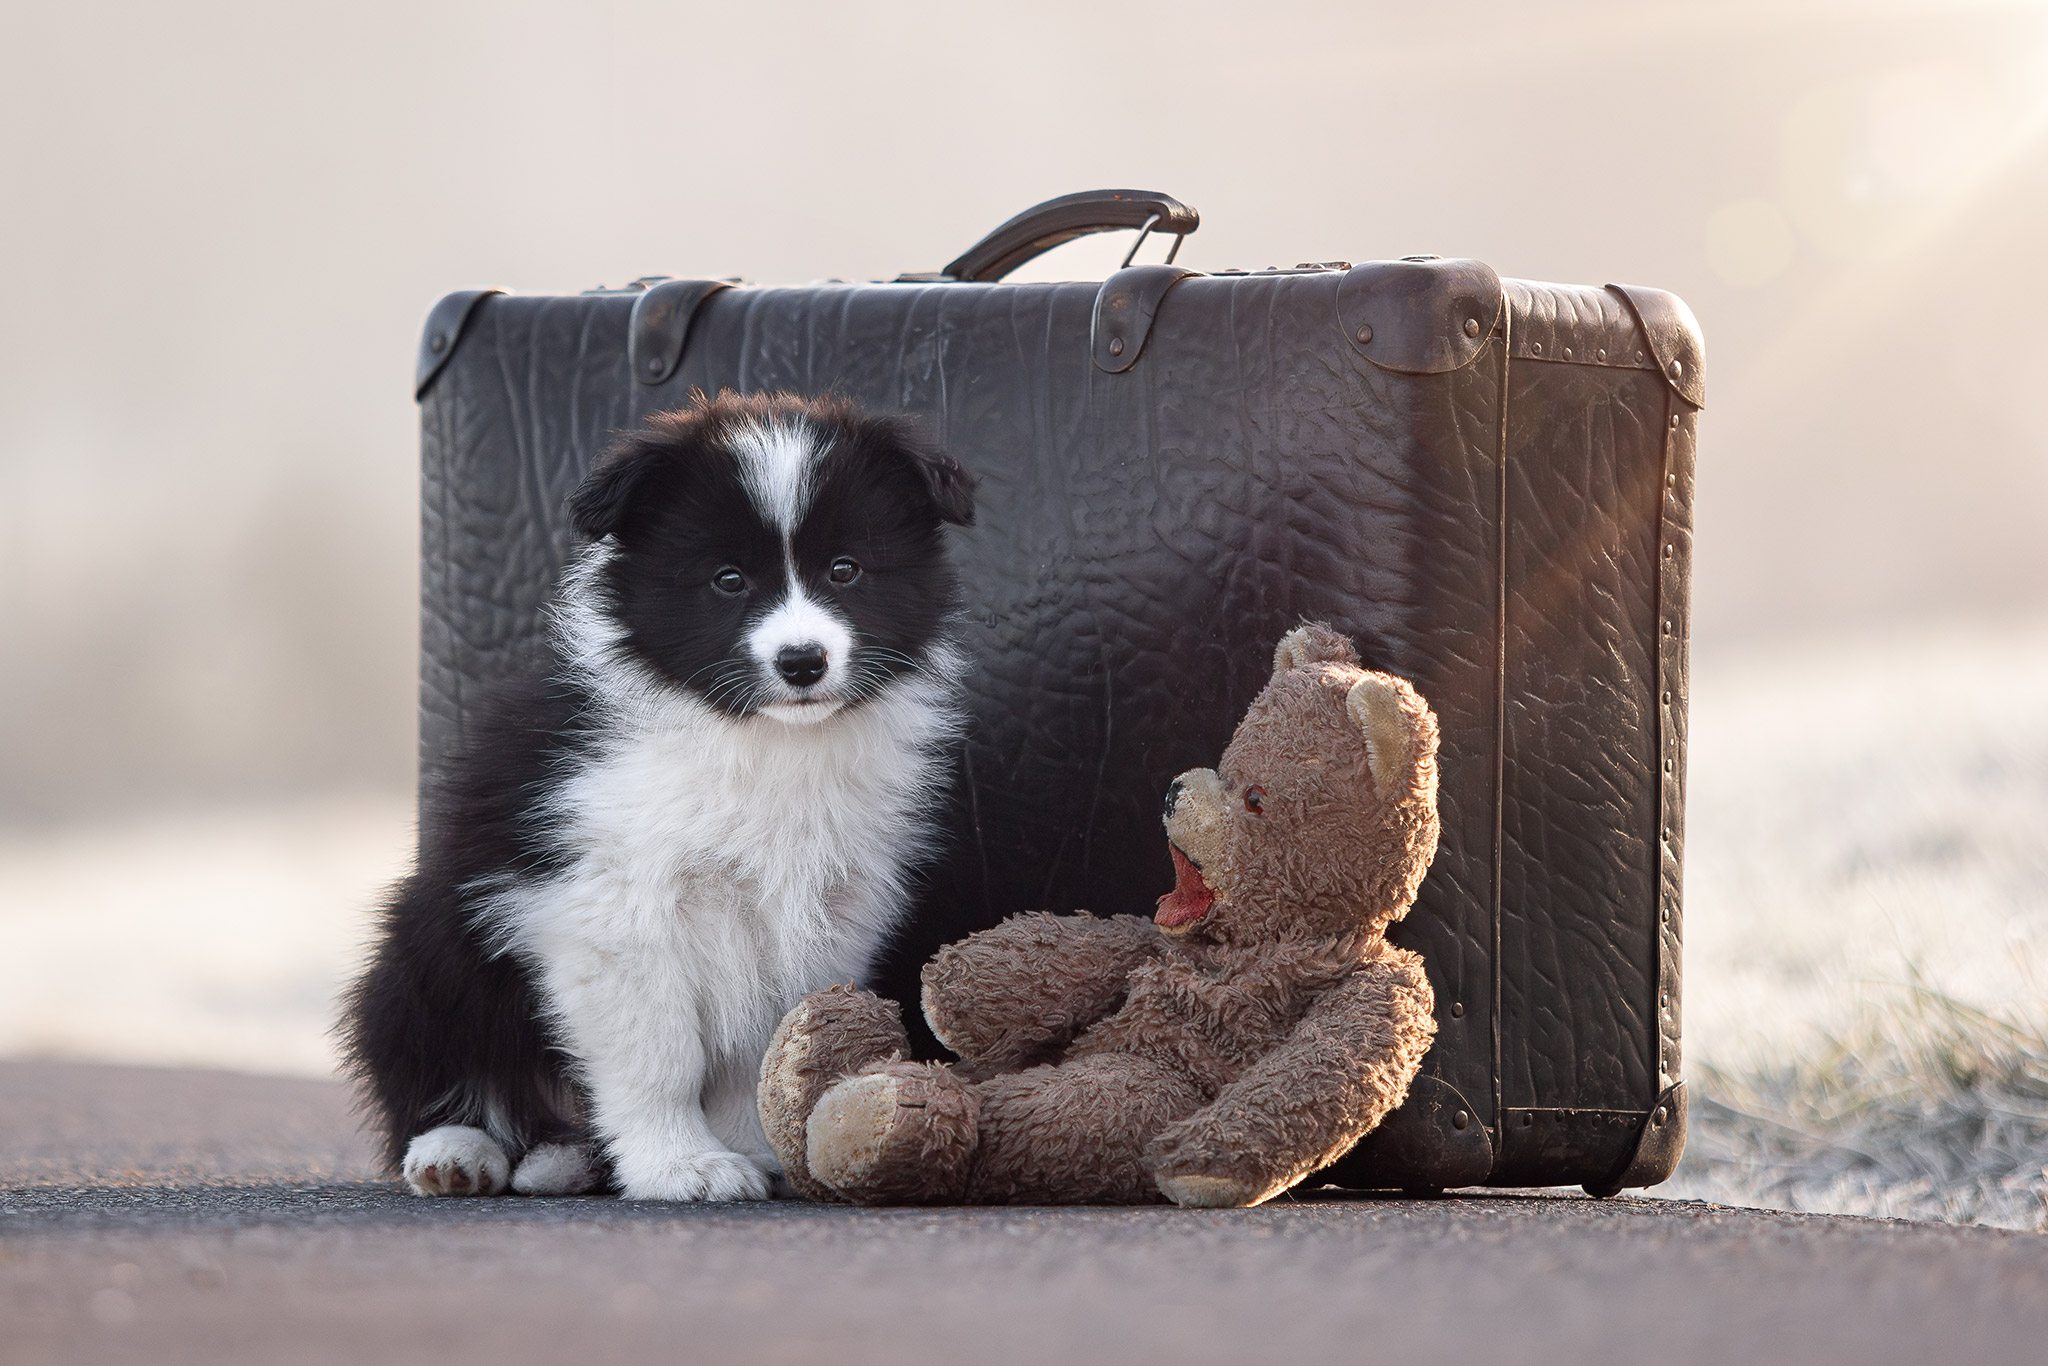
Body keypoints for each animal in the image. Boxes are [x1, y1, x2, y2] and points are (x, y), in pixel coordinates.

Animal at [339, 389, 970, 1204]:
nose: (802, 662)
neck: (757, 738)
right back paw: (456, 1153)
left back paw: (560, 1159)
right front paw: (682, 1165)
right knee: (443, 1069)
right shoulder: (613, 908)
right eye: (728, 580)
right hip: (424, 952)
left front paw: (752, 1149)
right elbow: (658, 1053)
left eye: (846, 569)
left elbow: (756, 1052)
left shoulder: (816, 910)